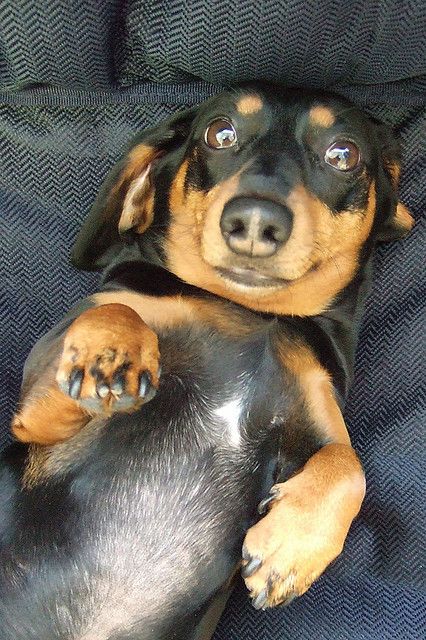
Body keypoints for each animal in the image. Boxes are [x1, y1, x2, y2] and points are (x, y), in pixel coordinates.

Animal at [0, 86, 412, 640]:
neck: (248, 313)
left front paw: (289, 550)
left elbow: (349, 466)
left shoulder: (319, 414)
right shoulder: (36, 415)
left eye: (343, 153)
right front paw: (110, 354)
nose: (256, 220)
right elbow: (118, 308)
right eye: (221, 132)